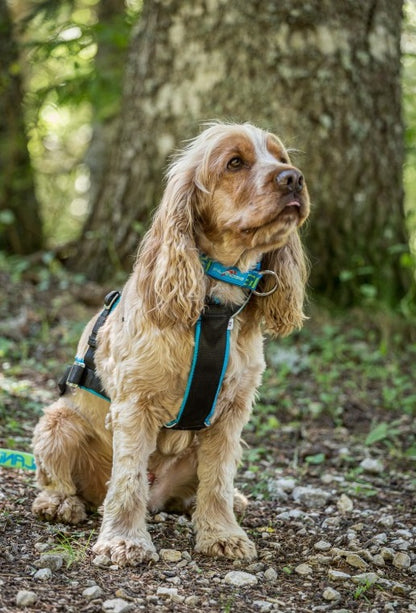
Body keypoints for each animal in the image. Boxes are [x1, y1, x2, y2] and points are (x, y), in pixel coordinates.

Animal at [31, 122, 308, 568]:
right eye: (234, 163)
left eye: (280, 158)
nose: (294, 178)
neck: (215, 306)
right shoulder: (134, 405)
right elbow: (127, 480)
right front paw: (124, 540)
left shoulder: (232, 414)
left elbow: (217, 480)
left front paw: (222, 534)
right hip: (58, 421)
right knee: (64, 482)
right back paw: (60, 503)